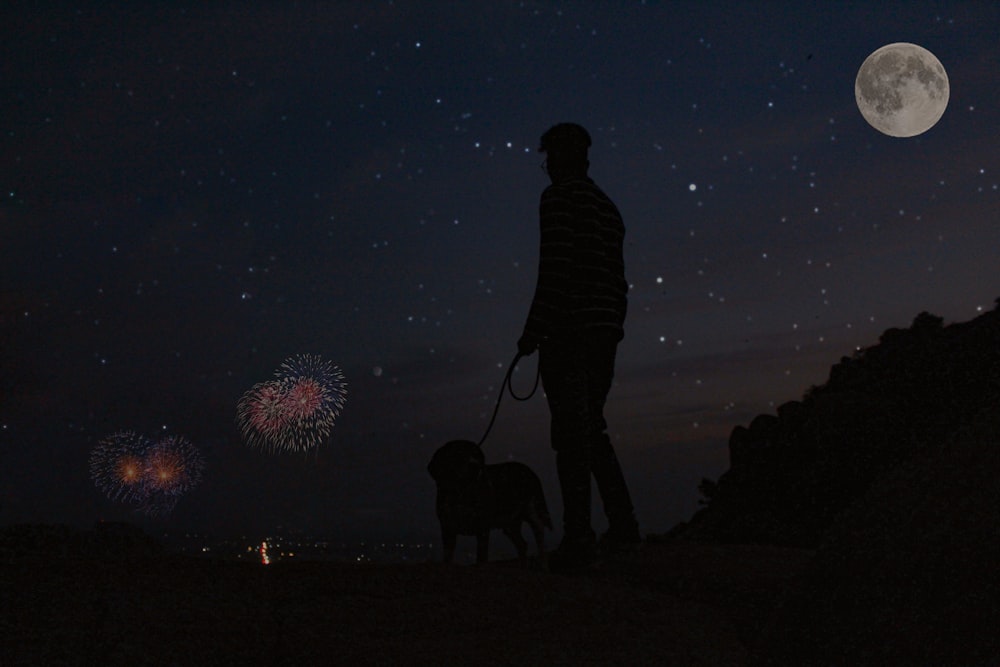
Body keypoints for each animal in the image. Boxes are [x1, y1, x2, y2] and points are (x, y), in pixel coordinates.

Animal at [426, 440, 552, 568]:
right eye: (459, 453)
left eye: (476, 455)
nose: (474, 466)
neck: (462, 493)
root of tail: (528, 470)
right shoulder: (447, 529)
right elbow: (447, 559)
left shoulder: (482, 528)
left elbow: (481, 558)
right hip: (509, 524)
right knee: (522, 544)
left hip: (532, 511)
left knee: (539, 535)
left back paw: (543, 564)